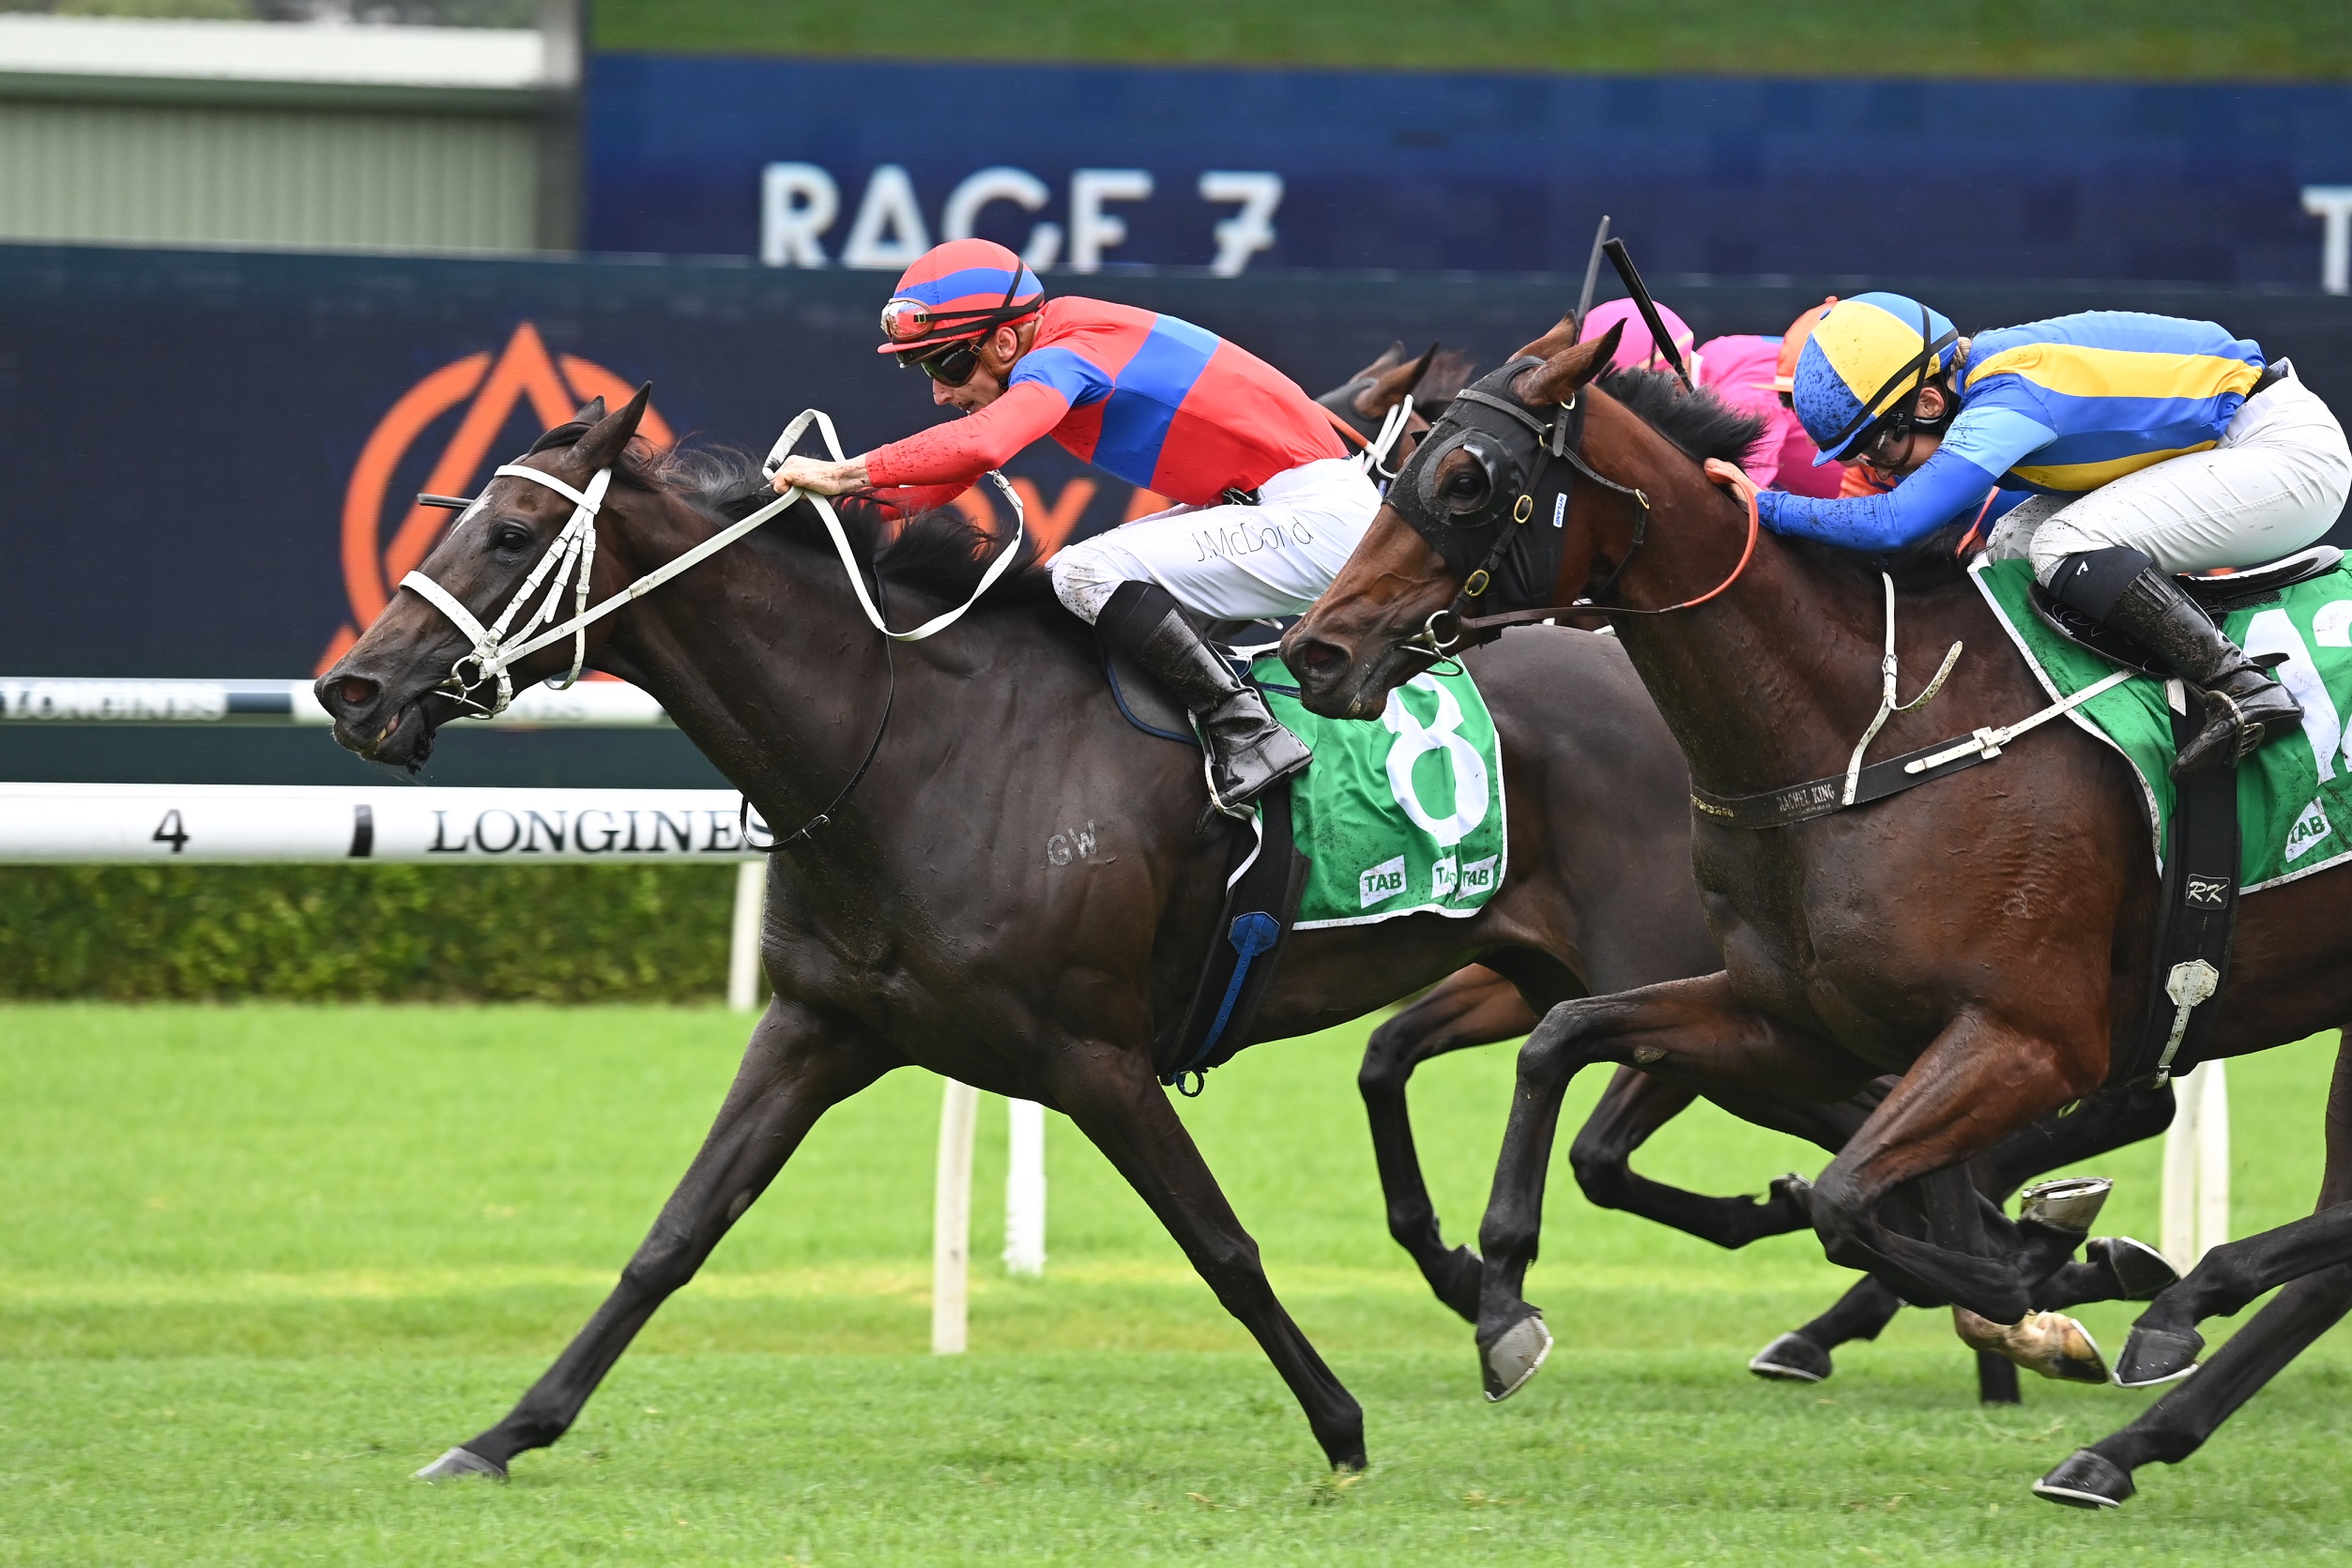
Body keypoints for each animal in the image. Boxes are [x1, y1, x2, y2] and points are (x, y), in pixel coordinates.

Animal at [1289, 310, 2352, 1504]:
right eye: (1396, 469)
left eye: (1467, 478)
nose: (1315, 648)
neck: (1863, 732)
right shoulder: (1793, 1020)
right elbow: (1561, 1042)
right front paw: (1502, 1300)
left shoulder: (2030, 1040)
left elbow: (1849, 1200)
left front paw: (2048, 1285)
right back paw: (2123, 1427)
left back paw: (2168, 1311)